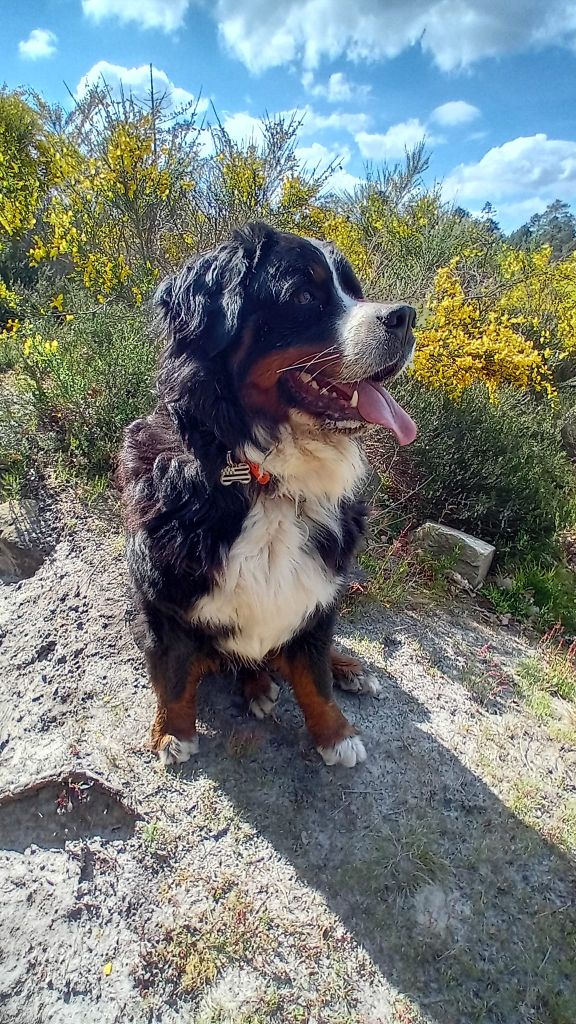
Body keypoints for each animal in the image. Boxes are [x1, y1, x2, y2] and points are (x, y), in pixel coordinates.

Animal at [118, 222, 414, 770]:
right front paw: (171, 732)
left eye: (355, 291)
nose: (405, 317)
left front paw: (335, 733)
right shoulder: (162, 597)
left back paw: (347, 668)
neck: (265, 476)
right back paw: (256, 685)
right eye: (303, 296)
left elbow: (314, 673)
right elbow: (172, 674)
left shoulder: (319, 589)